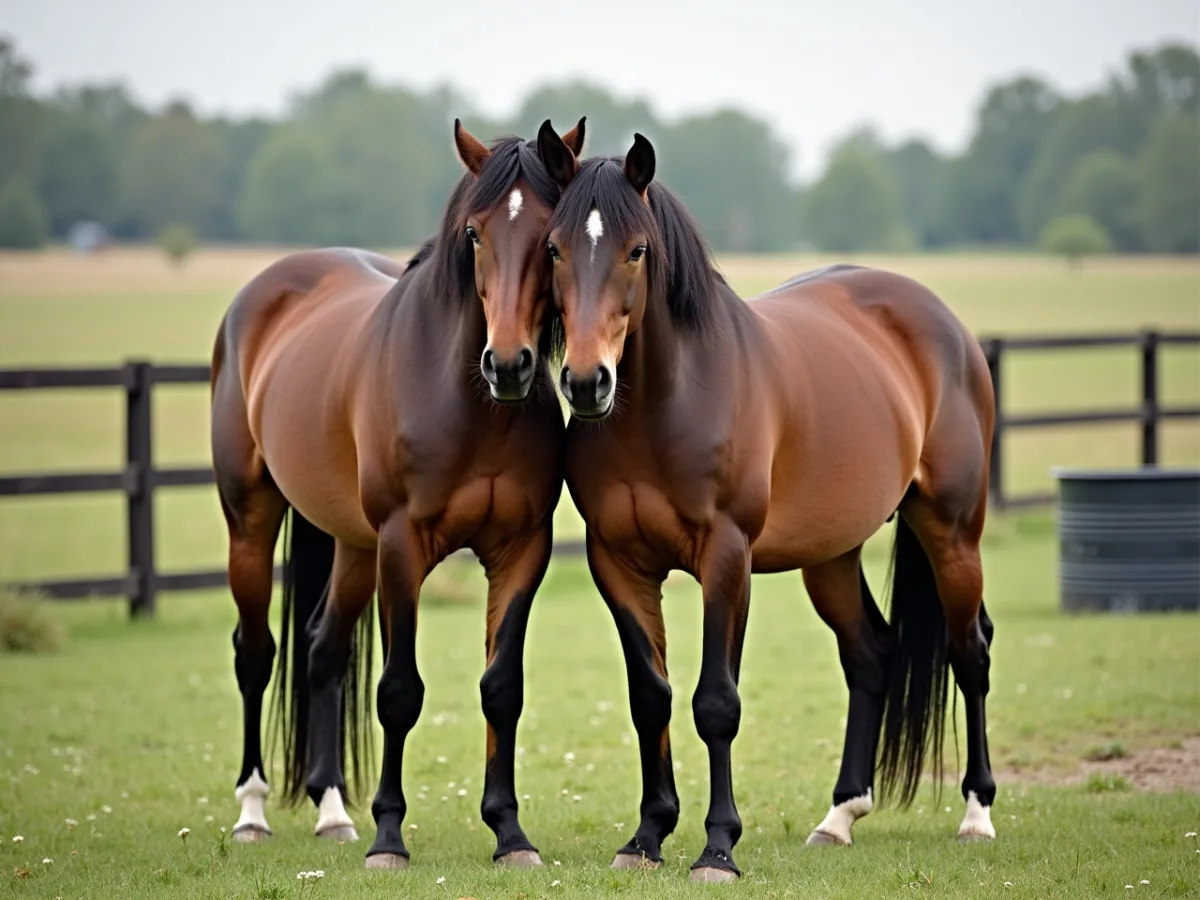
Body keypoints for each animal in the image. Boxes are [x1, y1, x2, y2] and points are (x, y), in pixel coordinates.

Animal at [210, 118, 585, 869]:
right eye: (474, 233)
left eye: (550, 239)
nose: (508, 364)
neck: (468, 403)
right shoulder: (402, 548)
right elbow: (399, 692)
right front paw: (389, 837)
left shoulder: (520, 551)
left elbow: (502, 688)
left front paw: (509, 833)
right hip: (252, 521)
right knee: (256, 653)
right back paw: (252, 812)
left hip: (354, 547)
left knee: (322, 651)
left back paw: (331, 811)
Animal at [535, 129, 997, 882]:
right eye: (553, 247)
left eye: (637, 250)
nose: (584, 381)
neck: (668, 402)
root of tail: (940, 321)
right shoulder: (619, 563)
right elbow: (650, 697)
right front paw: (646, 837)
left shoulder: (728, 558)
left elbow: (716, 703)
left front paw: (718, 847)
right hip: (831, 555)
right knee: (871, 654)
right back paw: (839, 818)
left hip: (952, 532)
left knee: (970, 654)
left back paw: (977, 814)